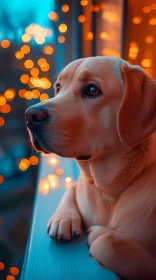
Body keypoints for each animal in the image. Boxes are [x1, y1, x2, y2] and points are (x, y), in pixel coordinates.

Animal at [25, 55, 156, 278]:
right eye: (58, 87)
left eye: (92, 90)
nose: (30, 116)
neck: (107, 190)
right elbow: (72, 187)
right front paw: (63, 218)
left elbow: (106, 242)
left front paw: (100, 235)